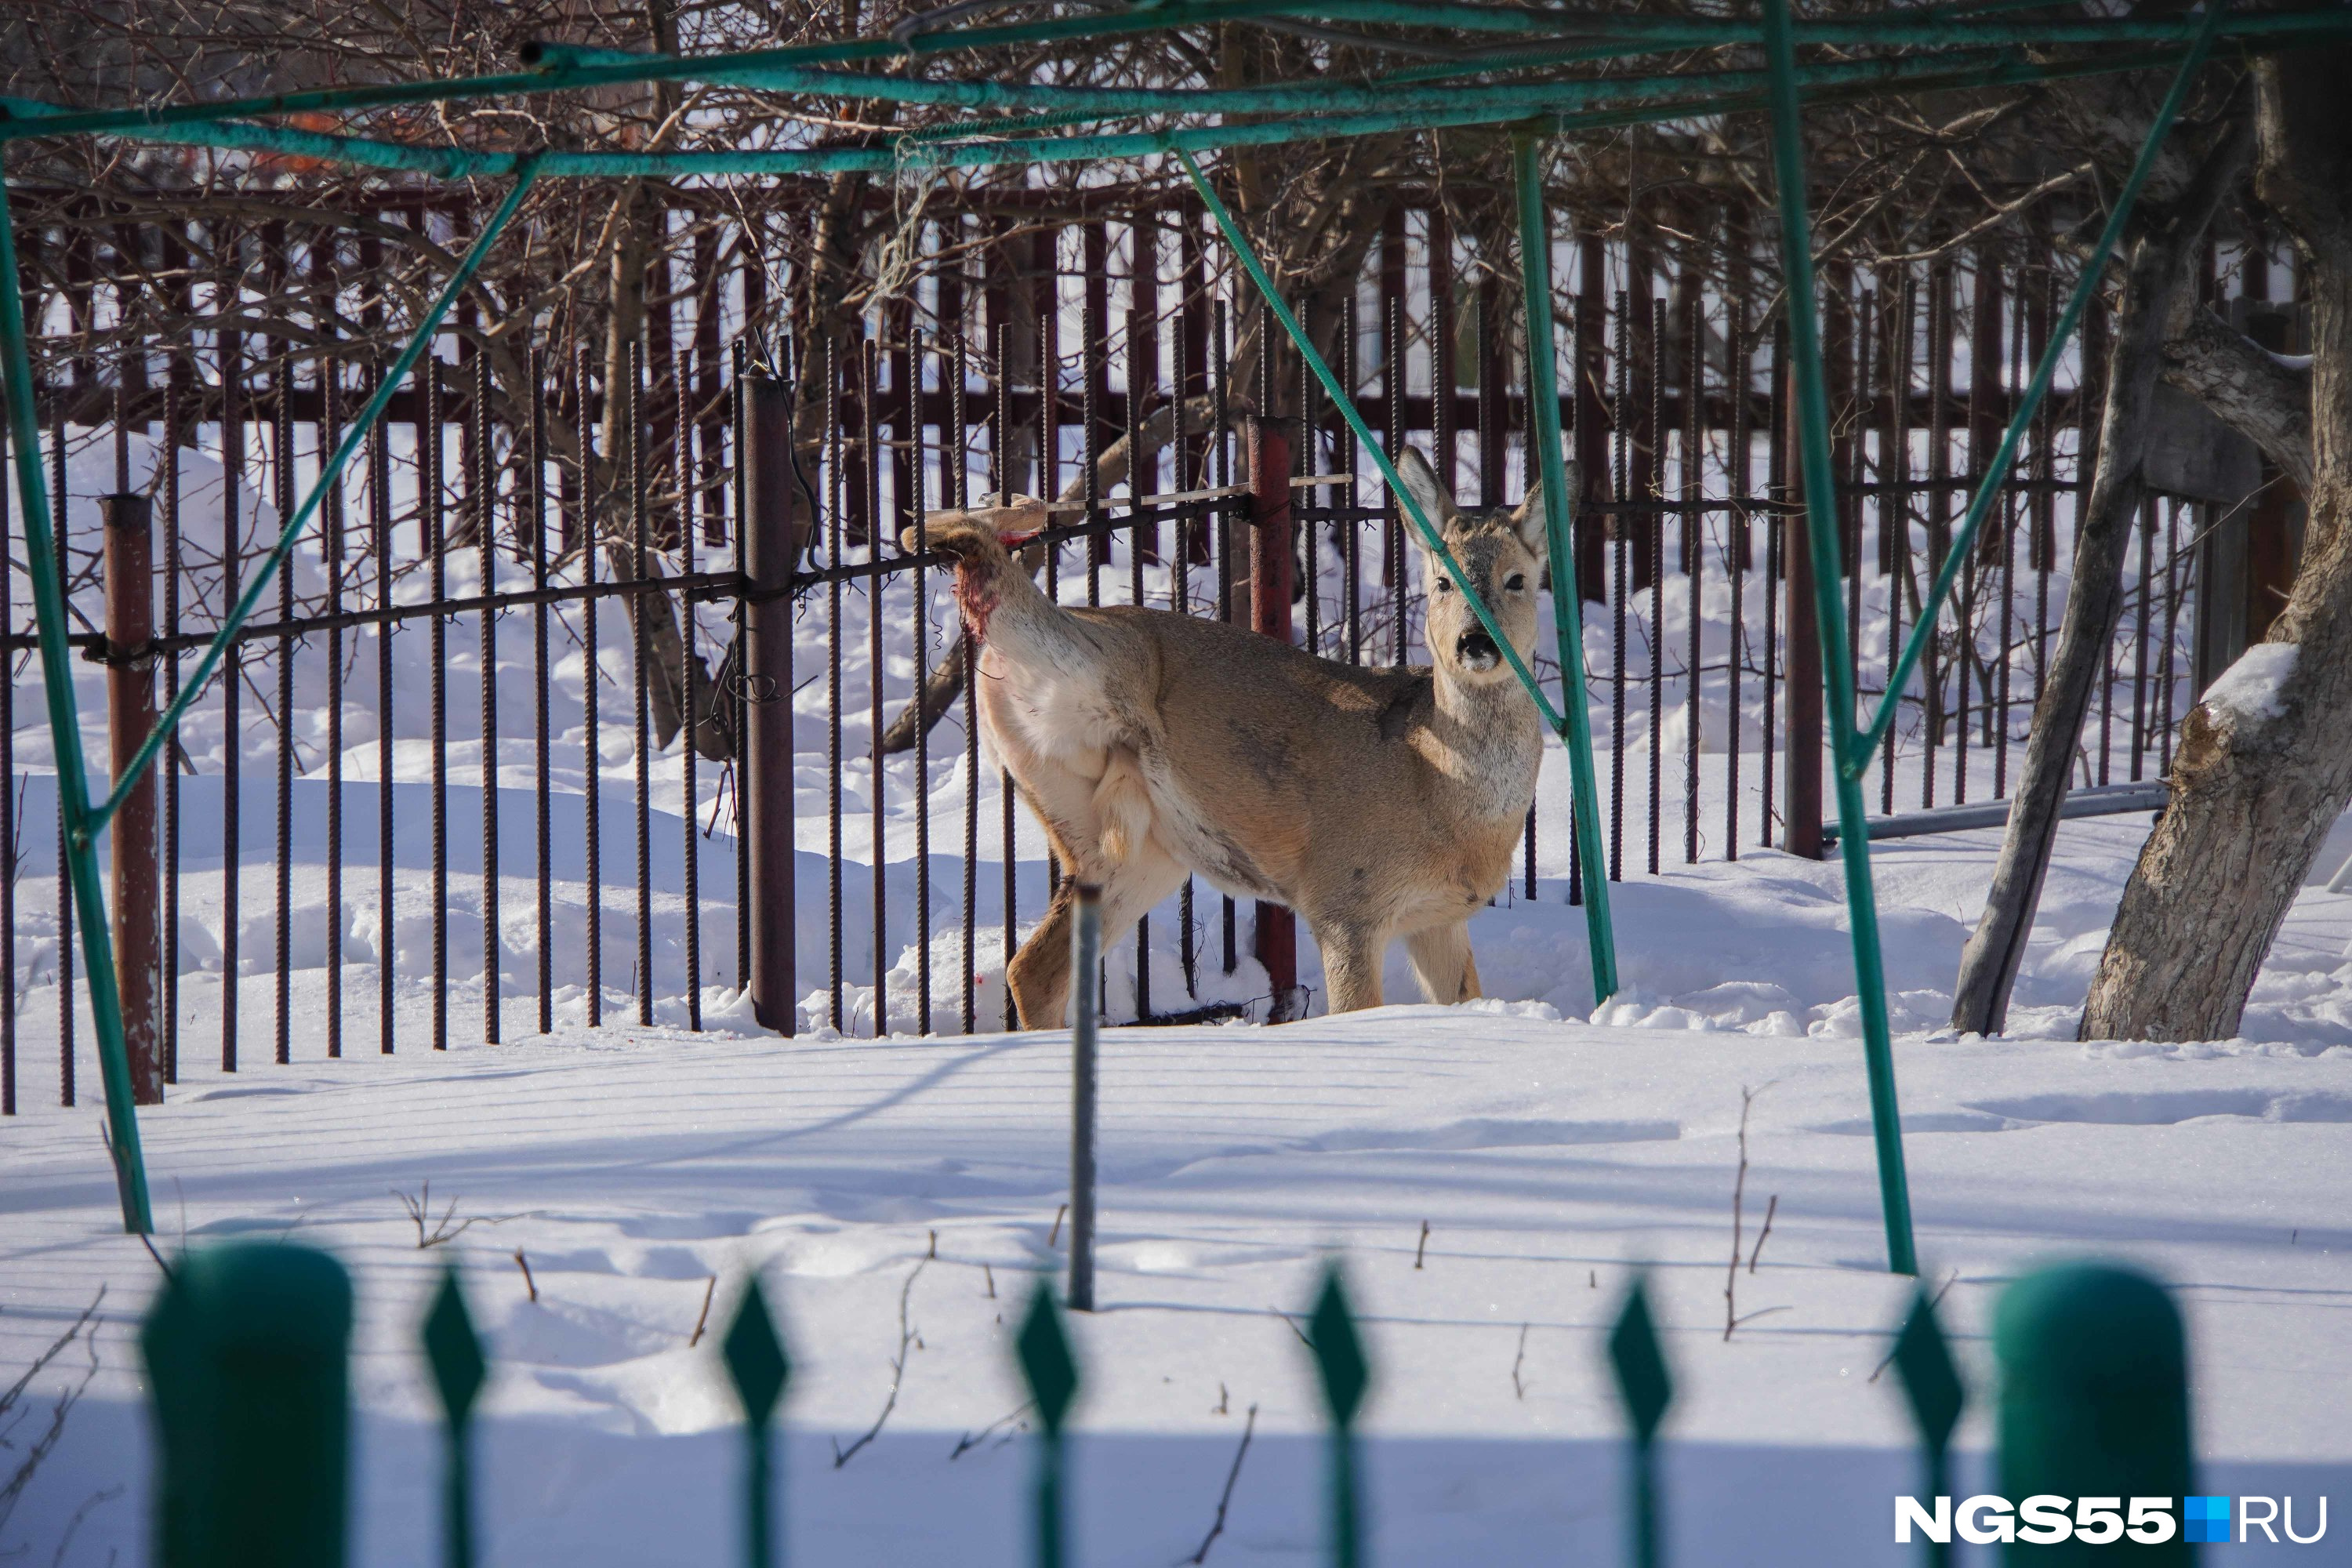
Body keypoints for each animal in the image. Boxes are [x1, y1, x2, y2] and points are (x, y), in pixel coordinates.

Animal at [913, 444, 1562, 1029]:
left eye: (1517, 580)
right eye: (1444, 583)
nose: (1475, 642)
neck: (1441, 792)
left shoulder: (1439, 917)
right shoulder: (1344, 900)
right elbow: (1356, 1012)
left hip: (1127, 845)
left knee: (1033, 969)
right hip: (1099, 662)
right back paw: (986, 518)